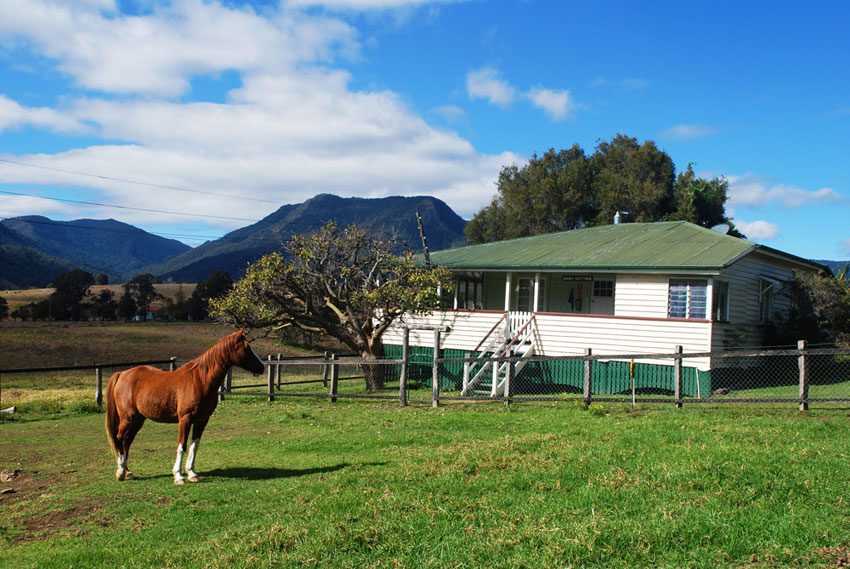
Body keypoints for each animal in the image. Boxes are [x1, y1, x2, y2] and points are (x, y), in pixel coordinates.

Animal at [107, 328, 264, 484]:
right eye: (247, 348)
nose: (262, 367)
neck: (200, 380)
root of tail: (122, 374)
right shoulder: (185, 419)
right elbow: (182, 446)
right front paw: (178, 476)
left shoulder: (202, 420)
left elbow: (194, 445)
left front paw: (192, 473)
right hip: (128, 418)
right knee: (119, 438)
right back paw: (120, 471)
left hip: (139, 419)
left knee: (127, 440)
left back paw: (128, 472)